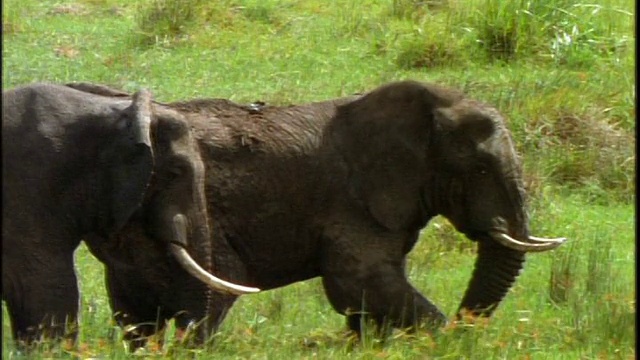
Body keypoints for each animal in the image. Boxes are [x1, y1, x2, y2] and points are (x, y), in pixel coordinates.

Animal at [67, 81, 564, 346]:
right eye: (478, 168)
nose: (467, 328)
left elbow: (366, 298)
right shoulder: (353, 203)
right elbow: (360, 282)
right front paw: (440, 341)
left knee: (138, 314)